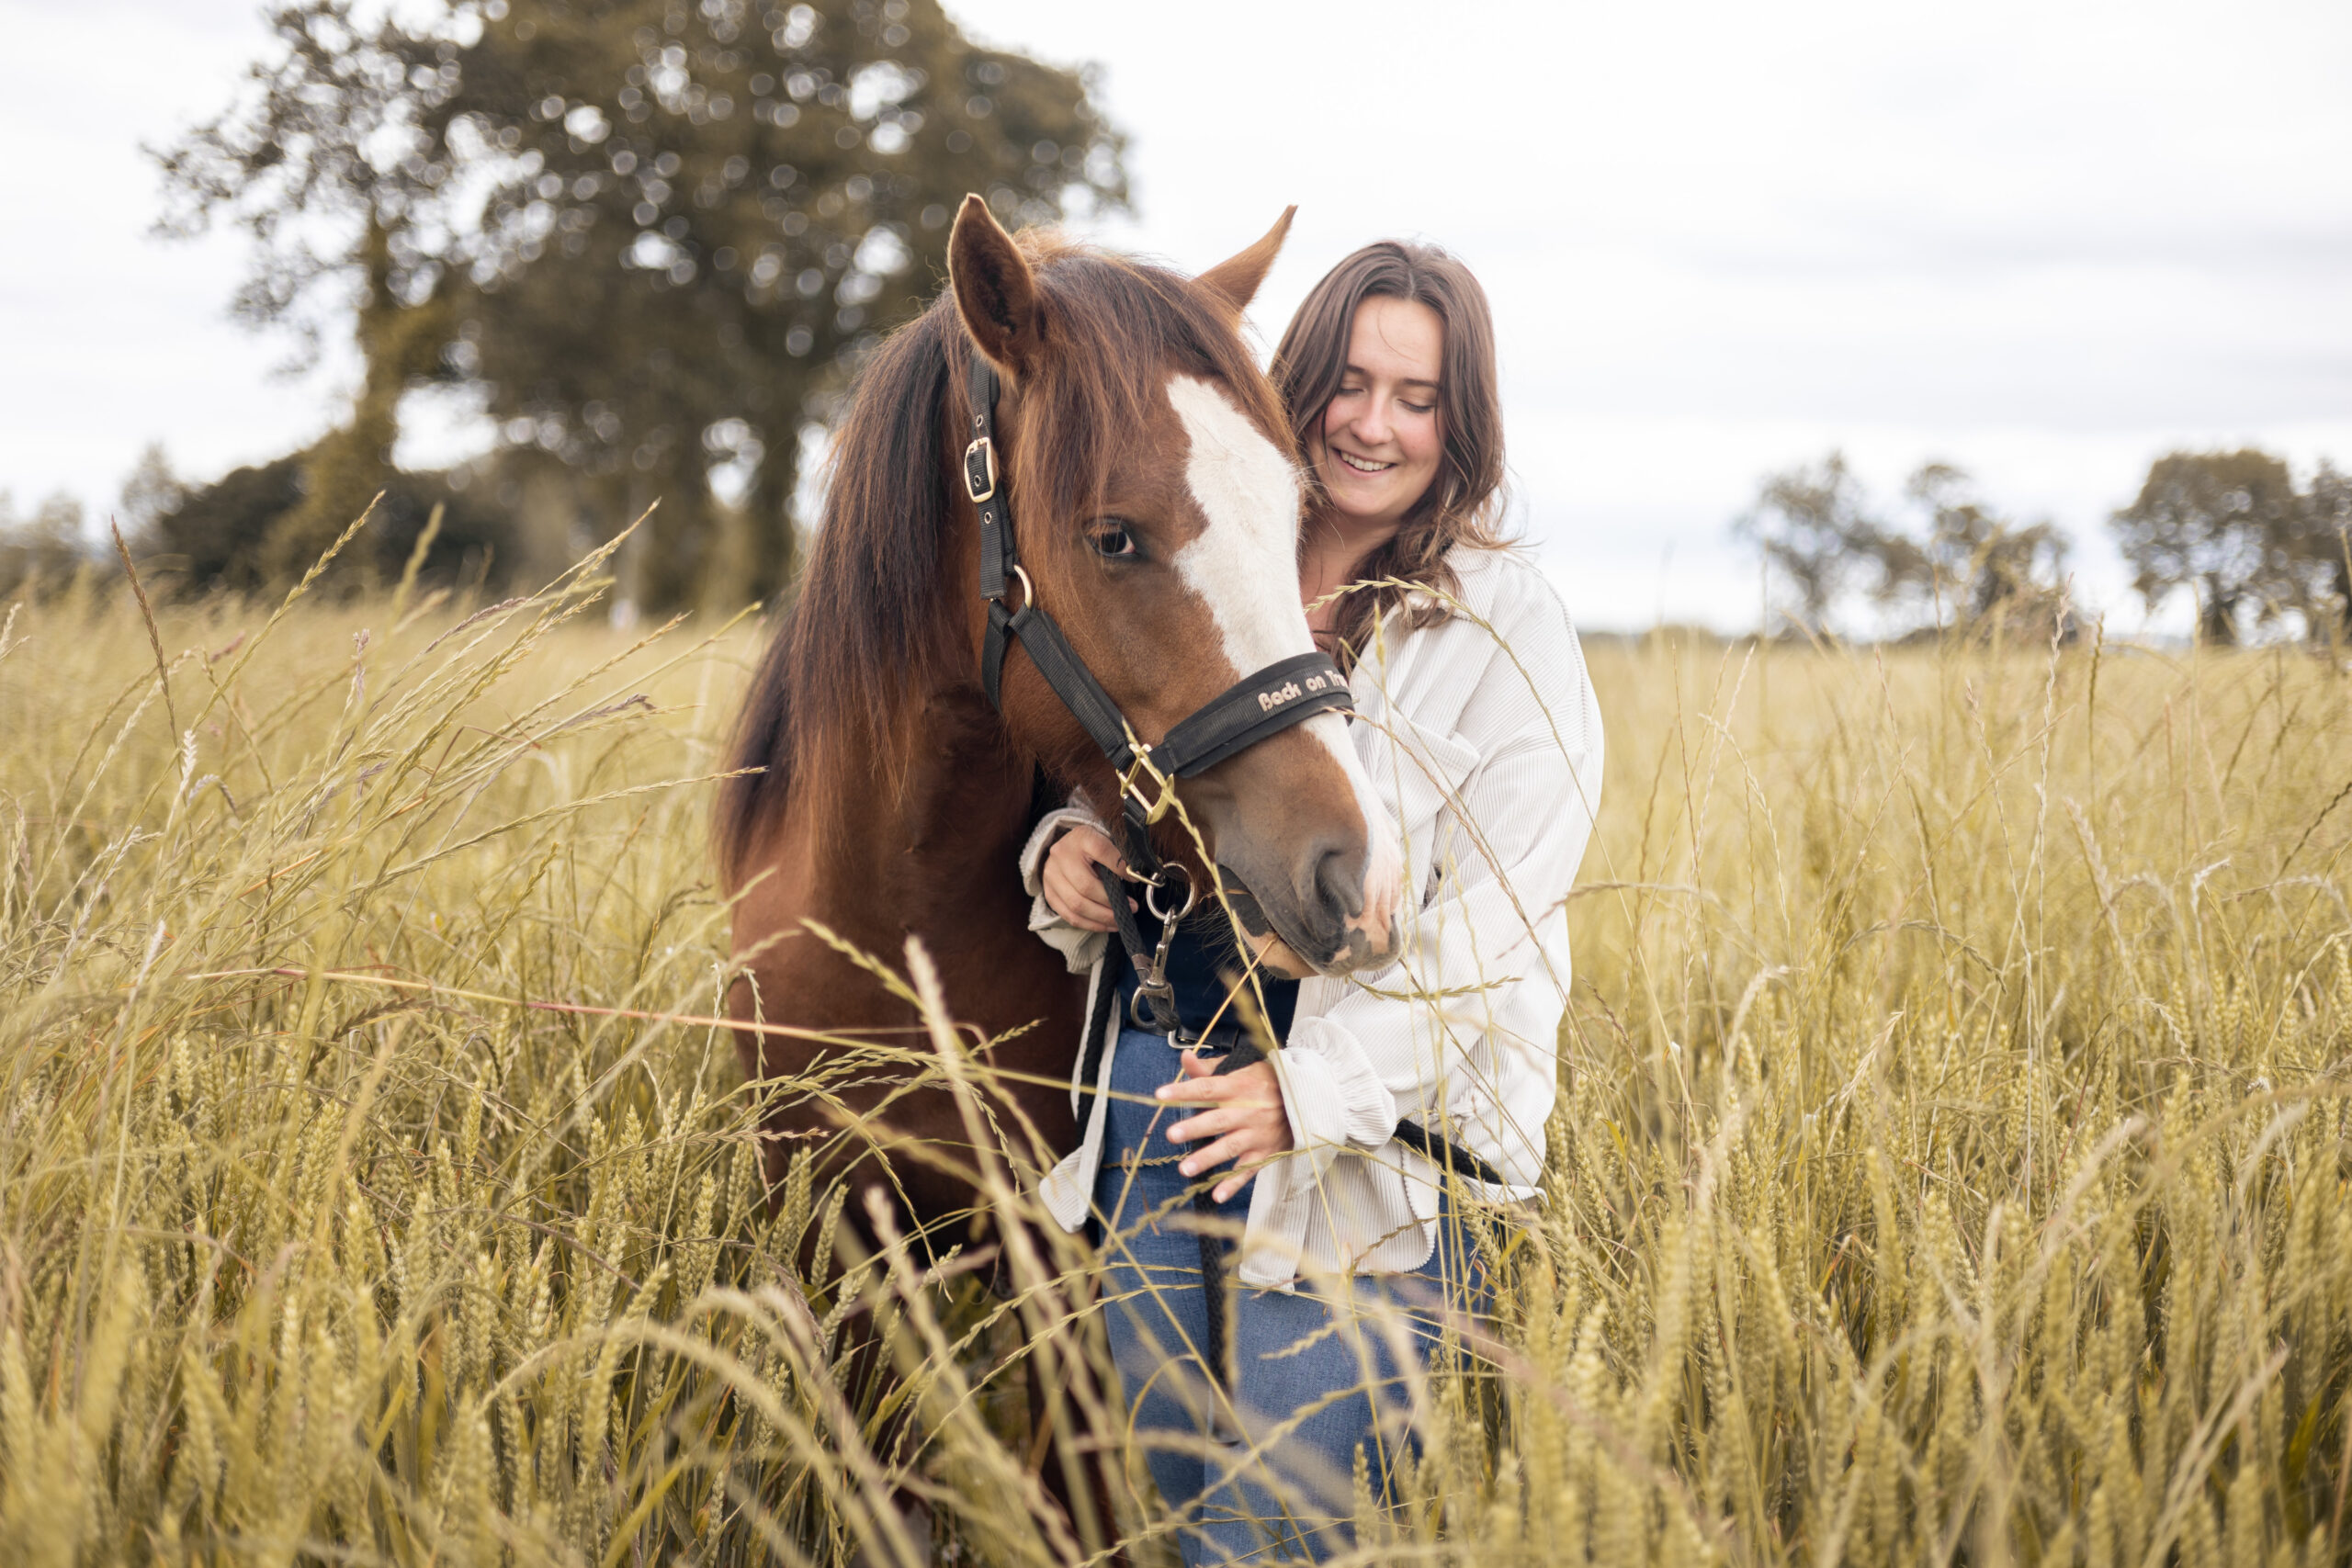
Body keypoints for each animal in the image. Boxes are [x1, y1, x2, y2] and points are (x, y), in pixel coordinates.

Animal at [710, 192, 1392, 1541]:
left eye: (1293, 516)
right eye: (1114, 537)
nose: (1346, 874)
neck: (894, 926)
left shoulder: (1058, 1254)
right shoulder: (834, 1233)